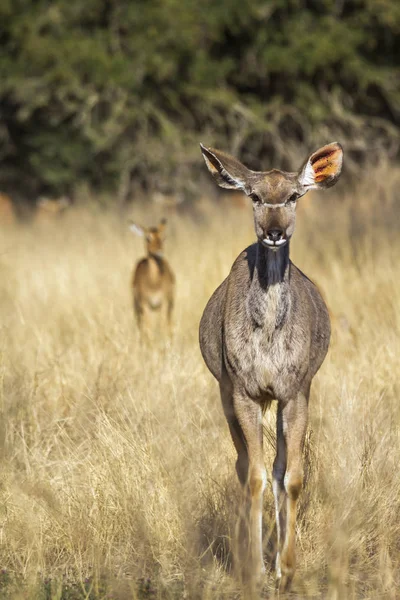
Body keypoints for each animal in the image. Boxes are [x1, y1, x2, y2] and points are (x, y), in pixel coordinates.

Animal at [198, 141, 342, 592]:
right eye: (255, 196)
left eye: (294, 195)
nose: (274, 232)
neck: (267, 333)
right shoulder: (243, 391)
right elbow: (255, 475)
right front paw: (254, 570)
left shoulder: (294, 391)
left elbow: (290, 476)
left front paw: (287, 569)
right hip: (226, 395)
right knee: (245, 467)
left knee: (275, 469)